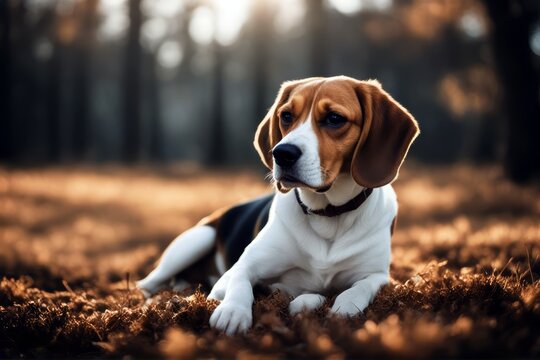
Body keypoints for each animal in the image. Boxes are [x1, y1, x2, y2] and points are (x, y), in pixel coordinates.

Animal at [137, 75, 420, 334]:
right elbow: (241, 282)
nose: (282, 153)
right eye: (286, 116)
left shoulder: (378, 276)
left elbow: (359, 288)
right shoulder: (237, 271)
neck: (327, 213)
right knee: (147, 284)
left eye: (334, 118)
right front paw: (233, 312)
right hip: (196, 240)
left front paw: (342, 307)